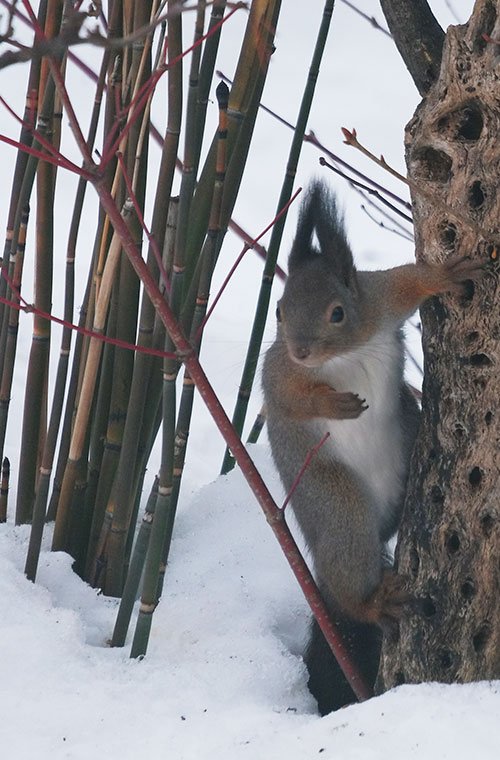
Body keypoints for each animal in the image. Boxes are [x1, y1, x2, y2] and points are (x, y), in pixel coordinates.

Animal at [262, 181, 484, 716]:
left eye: (338, 312)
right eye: (277, 311)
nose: (301, 350)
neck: (344, 354)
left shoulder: (380, 303)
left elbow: (408, 283)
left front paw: (445, 275)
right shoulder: (278, 369)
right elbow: (288, 396)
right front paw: (333, 402)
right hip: (339, 506)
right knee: (349, 577)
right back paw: (370, 601)